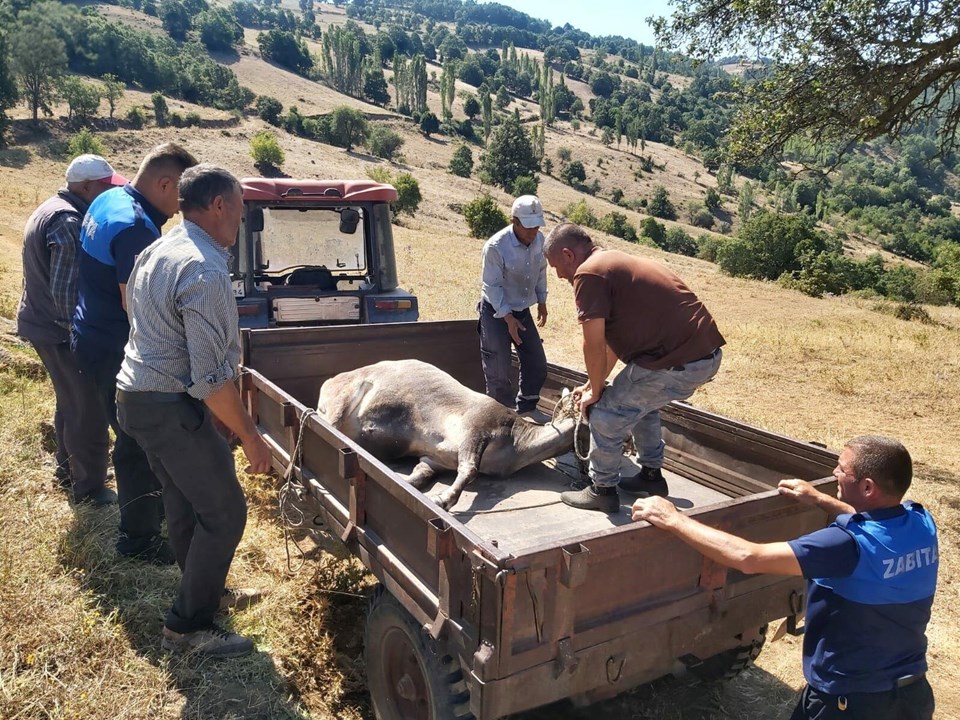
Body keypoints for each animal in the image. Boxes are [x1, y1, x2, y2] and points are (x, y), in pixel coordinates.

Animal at [242, 320, 840, 720]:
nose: (632, 457)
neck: (514, 443)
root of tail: (330, 383)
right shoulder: (469, 434)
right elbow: (460, 476)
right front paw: (441, 505)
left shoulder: (443, 452)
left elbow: (434, 474)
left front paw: (425, 493)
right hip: (338, 404)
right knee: (320, 425)